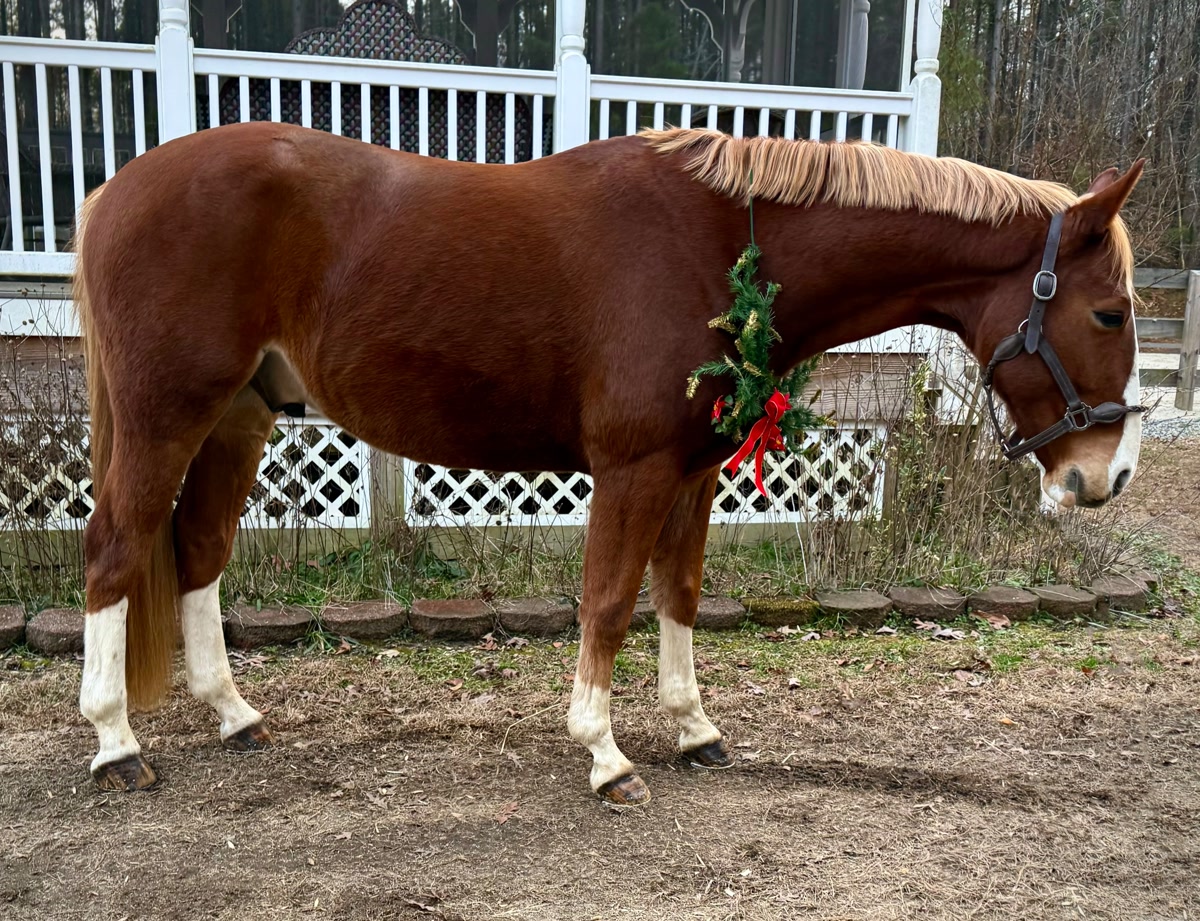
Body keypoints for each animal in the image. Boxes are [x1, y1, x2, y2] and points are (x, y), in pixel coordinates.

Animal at [71, 123, 1144, 804]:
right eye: (1108, 313)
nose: (1107, 475)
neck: (722, 245)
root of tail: (115, 188)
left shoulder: (694, 468)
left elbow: (679, 594)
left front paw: (694, 728)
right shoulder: (632, 468)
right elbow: (611, 601)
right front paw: (605, 754)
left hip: (239, 415)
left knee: (198, 551)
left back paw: (233, 714)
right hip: (168, 415)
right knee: (115, 552)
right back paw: (116, 743)